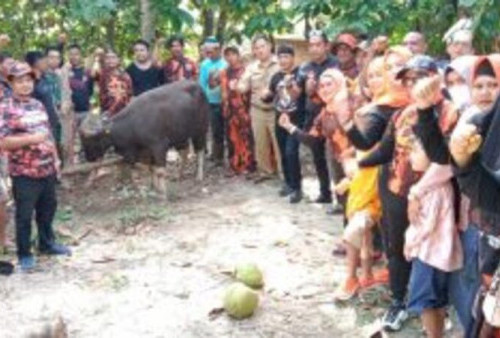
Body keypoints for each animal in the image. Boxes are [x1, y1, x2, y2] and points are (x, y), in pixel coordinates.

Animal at [78, 80, 211, 185]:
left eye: (91, 140)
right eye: (82, 140)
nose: (88, 158)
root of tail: (199, 88)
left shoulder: (159, 146)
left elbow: (160, 171)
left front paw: (162, 195)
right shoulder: (145, 152)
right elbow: (151, 169)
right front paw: (153, 187)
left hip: (200, 130)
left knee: (200, 150)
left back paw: (199, 176)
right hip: (180, 135)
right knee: (184, 152)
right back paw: (179, 175)